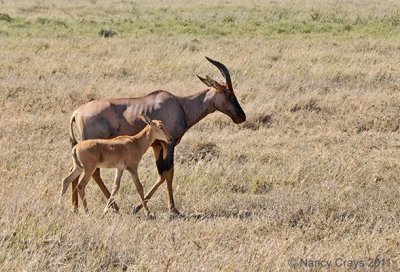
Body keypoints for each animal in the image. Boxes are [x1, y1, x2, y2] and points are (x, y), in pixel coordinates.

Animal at [69, 56, 247, 215]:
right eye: (229, 93)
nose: (242, 117)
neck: (180, 104)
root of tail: (76, 112)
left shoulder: (157, 145)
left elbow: (162, 173)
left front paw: (139, 207)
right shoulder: (169, 144)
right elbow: (168, 173)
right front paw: (171, 209)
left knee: (75, 170)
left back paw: (76, 207)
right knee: (93, 173)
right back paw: (113, 207)